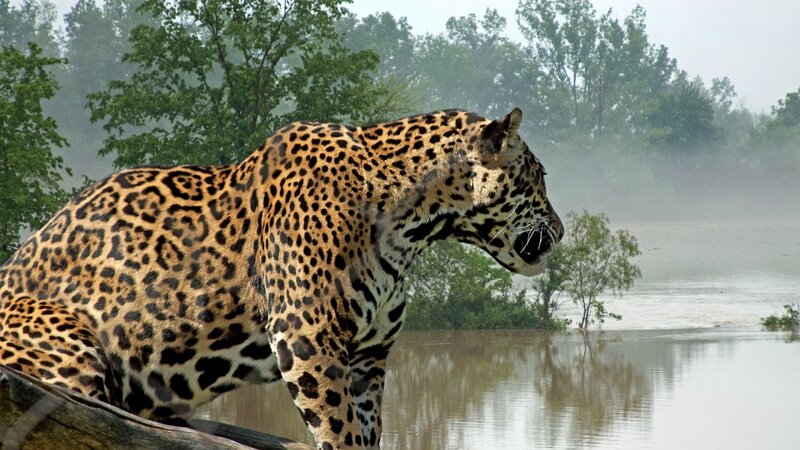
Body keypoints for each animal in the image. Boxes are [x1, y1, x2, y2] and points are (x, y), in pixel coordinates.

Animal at [0, 108, 563, 449]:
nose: (559, 231)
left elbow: (368, 428)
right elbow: (339, 429)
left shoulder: (369, 357)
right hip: (69, 349)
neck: (414, 224)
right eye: (539, 177)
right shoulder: (309, 335)